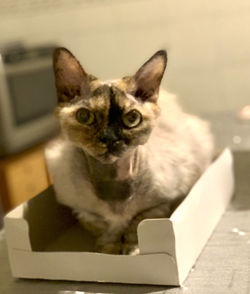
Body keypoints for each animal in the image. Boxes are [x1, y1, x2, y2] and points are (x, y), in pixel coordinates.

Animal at [44, 48, 213, 255]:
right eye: (84, 116)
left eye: (132, 119)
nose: (109, 138)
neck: (113, 181)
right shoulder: (82, 211)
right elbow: (105, 230)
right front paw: (108, 251)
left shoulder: (161, 204)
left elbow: (136, 228)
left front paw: (132, 251)